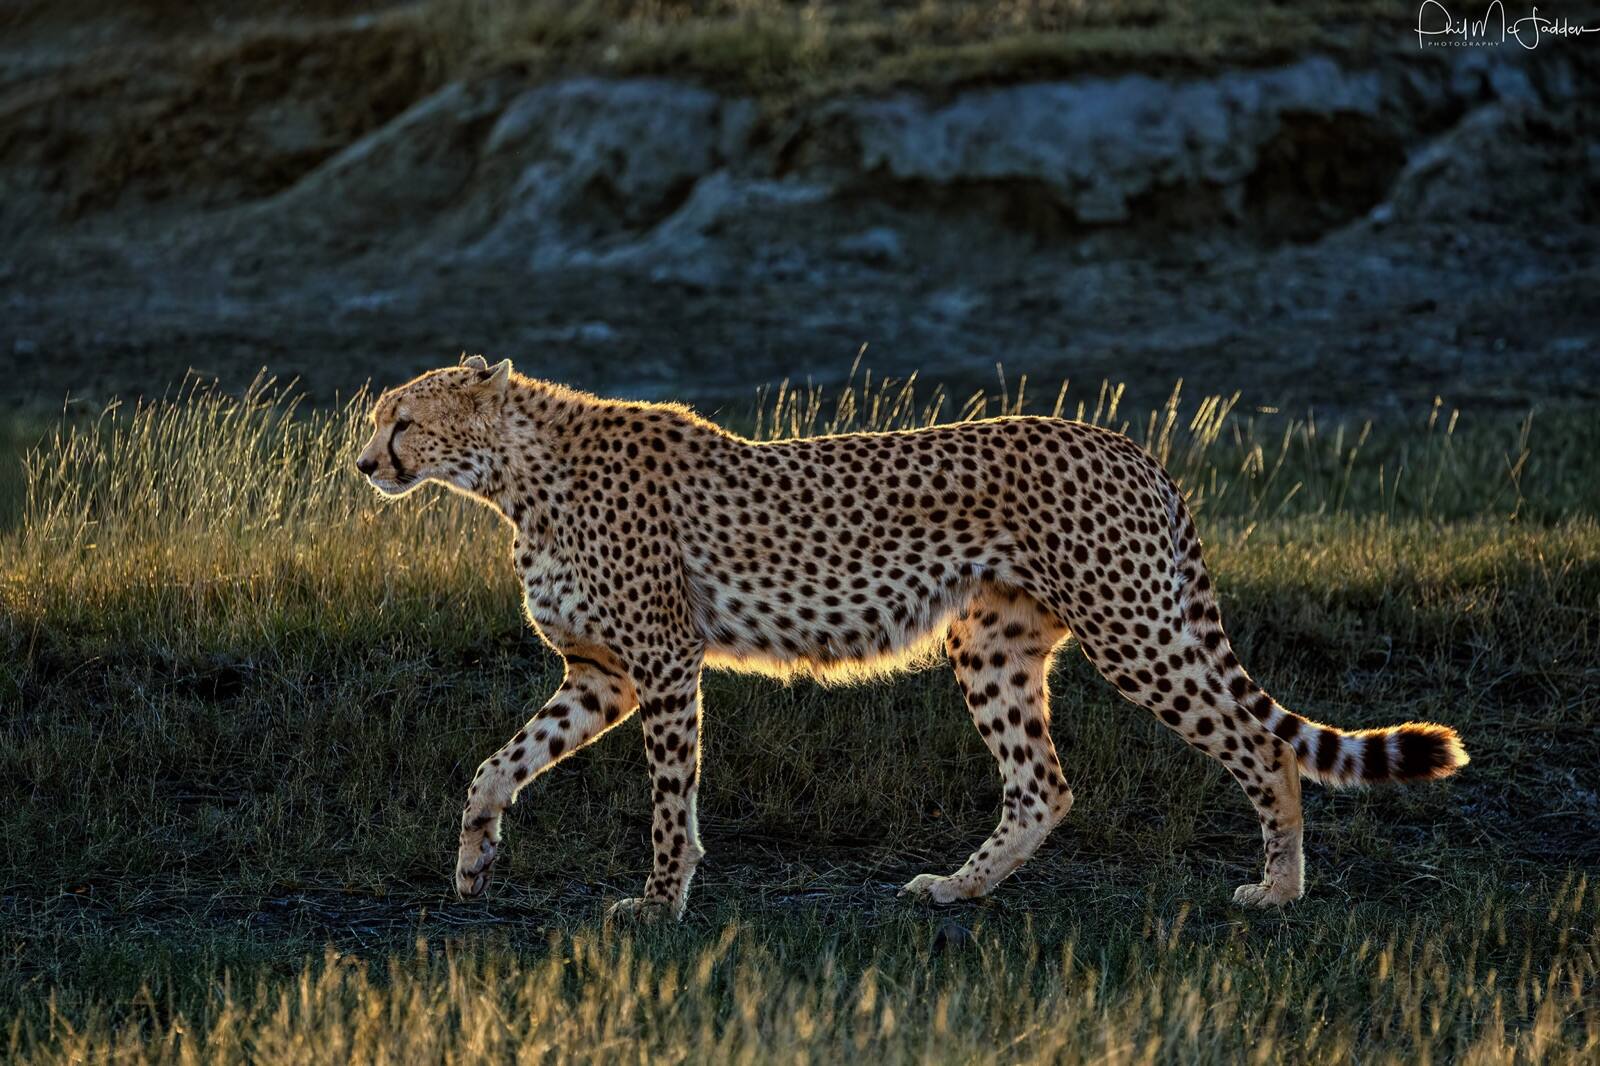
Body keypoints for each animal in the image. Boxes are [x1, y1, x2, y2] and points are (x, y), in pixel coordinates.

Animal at [354, 355, 1468, 919]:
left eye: (402, 420)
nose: (365, 462)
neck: (512, 476)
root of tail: (1124, 441)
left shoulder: (661, 664)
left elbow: (671, 799)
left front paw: (660, 902)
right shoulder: (601, 673)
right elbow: (498, 764)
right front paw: (473, 863)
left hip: (1134, 629)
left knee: (1261, 746)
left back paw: (1278, 889)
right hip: (994, 646)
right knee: (1043, 783)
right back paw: (958, 886)